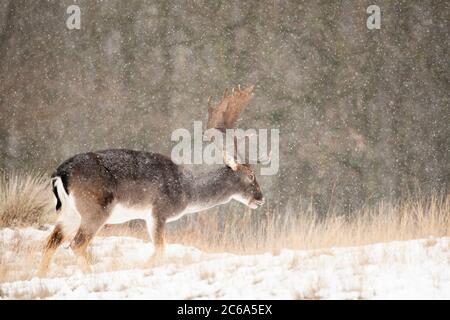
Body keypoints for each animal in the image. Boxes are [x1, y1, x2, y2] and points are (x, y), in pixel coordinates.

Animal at [38, 85, 266, 278]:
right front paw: (143, 267)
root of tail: (60, 172)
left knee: (50, 242)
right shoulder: (159, 211)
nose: (261, 198)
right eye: (251, 176)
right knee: (77, 244)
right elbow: (161, 250)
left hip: (70, 212)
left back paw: (41, 276)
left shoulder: (149, 216)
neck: (187, 191)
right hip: (95, 207)